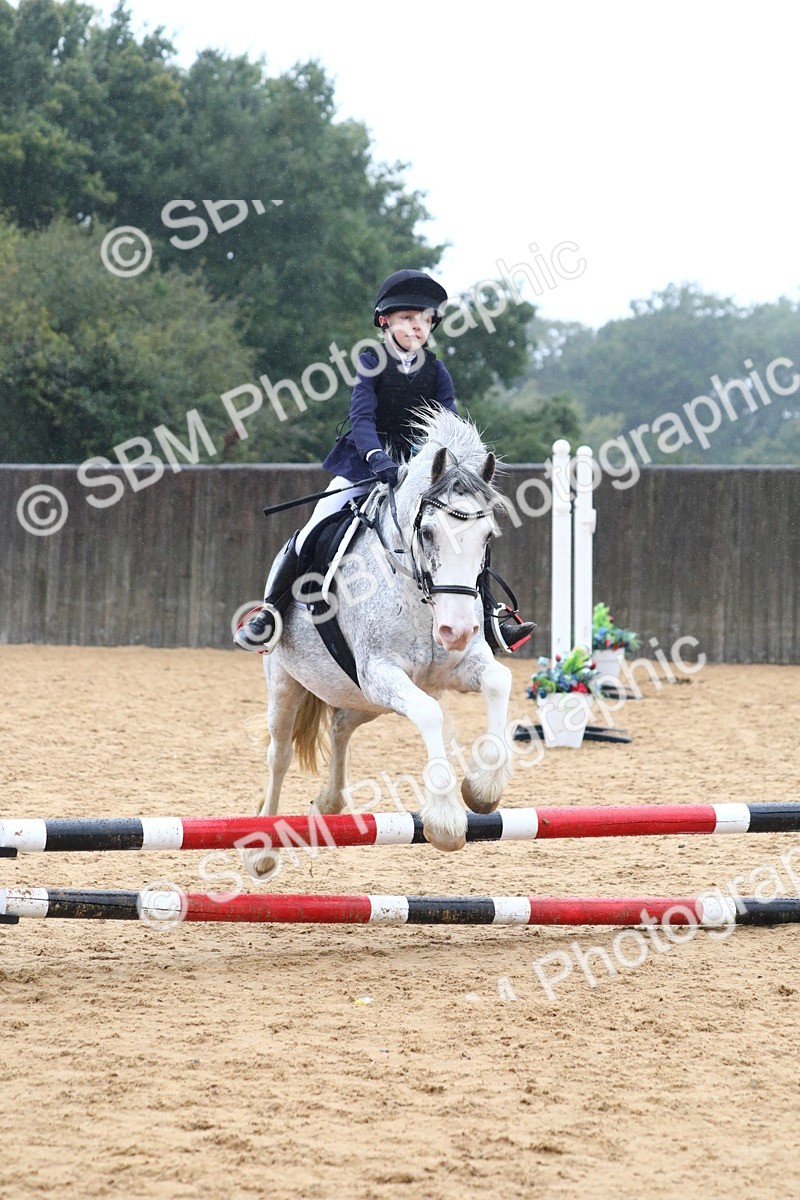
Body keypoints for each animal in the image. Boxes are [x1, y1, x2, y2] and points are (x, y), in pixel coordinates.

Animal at [251, 407, 515, 865]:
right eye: (427, 533)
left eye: (486, 537)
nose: (457, 631)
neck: (418, 596)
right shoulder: (381, 672)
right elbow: (430, 713)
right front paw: (445, 820)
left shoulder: (457, 667)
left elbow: (499, 681)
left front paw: (482, 789)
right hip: (289, 682)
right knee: (279, 755)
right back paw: (264, 851)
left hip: (364, 699)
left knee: (340, 724)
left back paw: (328, 804)